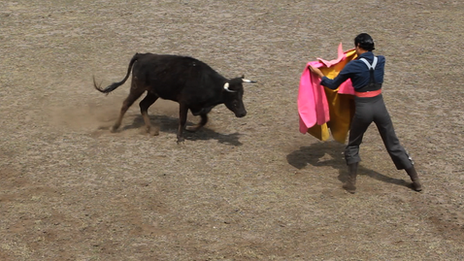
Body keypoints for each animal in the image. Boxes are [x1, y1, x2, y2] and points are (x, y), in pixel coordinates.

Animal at [93, 52, 256, 141]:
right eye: (234, 98)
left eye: (242, 94)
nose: (243, 113)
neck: (205, 81)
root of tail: (143, 55)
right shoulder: (184, 103)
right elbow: (182, 120)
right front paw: (180, 138)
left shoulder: (197, 106)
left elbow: (204, 119)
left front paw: (192, 129)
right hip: (137, 87)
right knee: (126, 104)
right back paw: (115, 127)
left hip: (153, 93)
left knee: (143, 105)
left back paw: (151, 129)